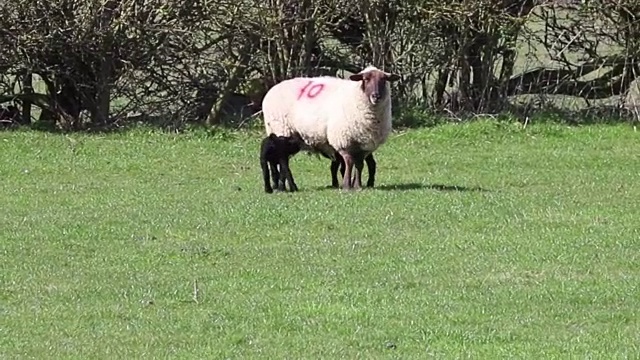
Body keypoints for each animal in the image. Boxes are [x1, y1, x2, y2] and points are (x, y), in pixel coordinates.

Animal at [262, 65, 398, 190]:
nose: (376, 96)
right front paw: (347, 186)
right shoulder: (343, 140)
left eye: (384, 79)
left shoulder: (364, 144)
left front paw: (357, 186)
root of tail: (272, 89)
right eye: (366, 79)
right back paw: (284, 187)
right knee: (281, 163)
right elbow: (349, 162)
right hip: (281, 131)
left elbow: (359, 165)